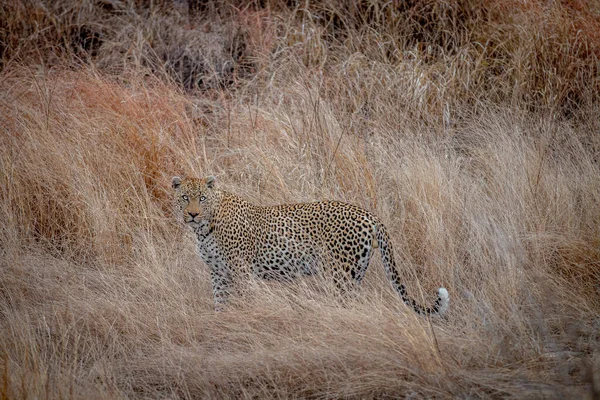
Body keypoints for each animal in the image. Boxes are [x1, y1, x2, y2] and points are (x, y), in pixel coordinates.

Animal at [171, 176, 448, 316]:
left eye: (202, 199)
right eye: (184, 197)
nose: (192, 214)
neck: (204, 229)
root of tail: (370, 215)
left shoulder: (242, 271)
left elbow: (247, 300)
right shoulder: (218, 273)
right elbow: (220, 302)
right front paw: (221, 322)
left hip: (341, 275)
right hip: (356, 273)